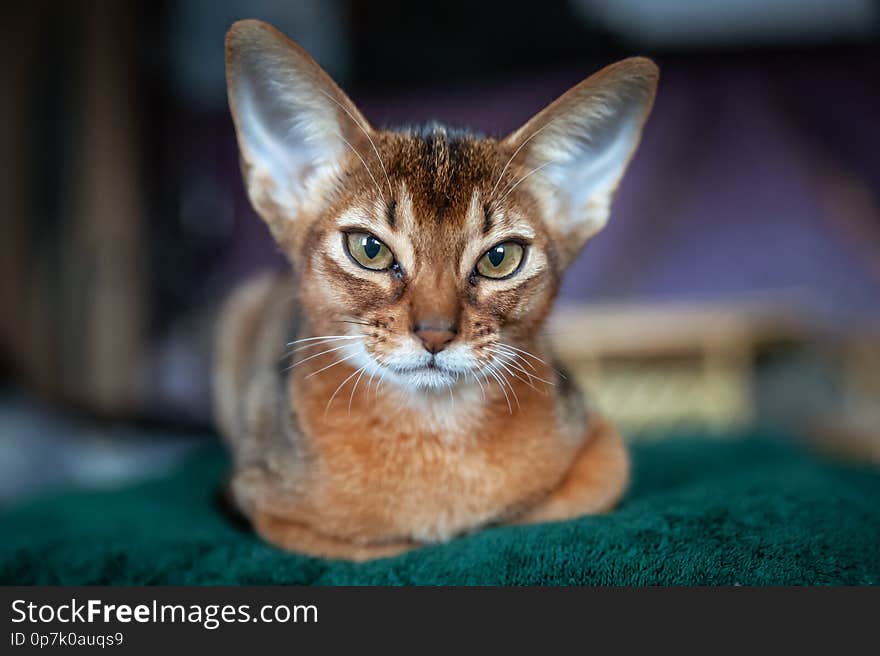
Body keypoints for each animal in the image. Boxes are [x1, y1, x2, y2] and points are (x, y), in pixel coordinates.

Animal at [215, 21, 660, 564]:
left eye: (499, 258)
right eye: (369, 249)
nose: (435, 333)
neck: (435, 434)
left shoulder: (604, 450)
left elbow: (541, 512)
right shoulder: (261, 500)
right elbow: (372, 547)